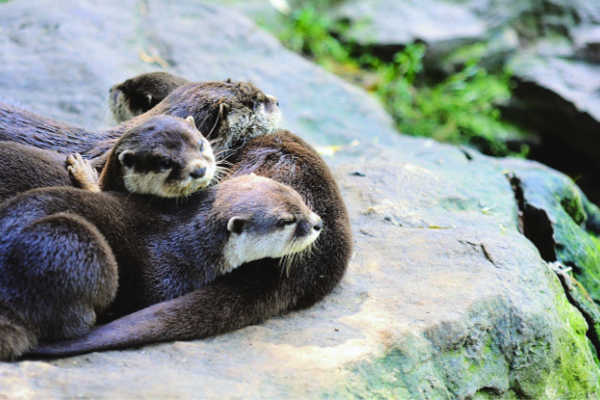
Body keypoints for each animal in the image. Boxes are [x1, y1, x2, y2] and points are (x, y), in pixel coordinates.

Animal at [1, 173, 324, 360]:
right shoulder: (167, 275)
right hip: (72, 241)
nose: (318, 223)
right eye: (287, 221)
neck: (190, 243)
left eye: (300, 199)